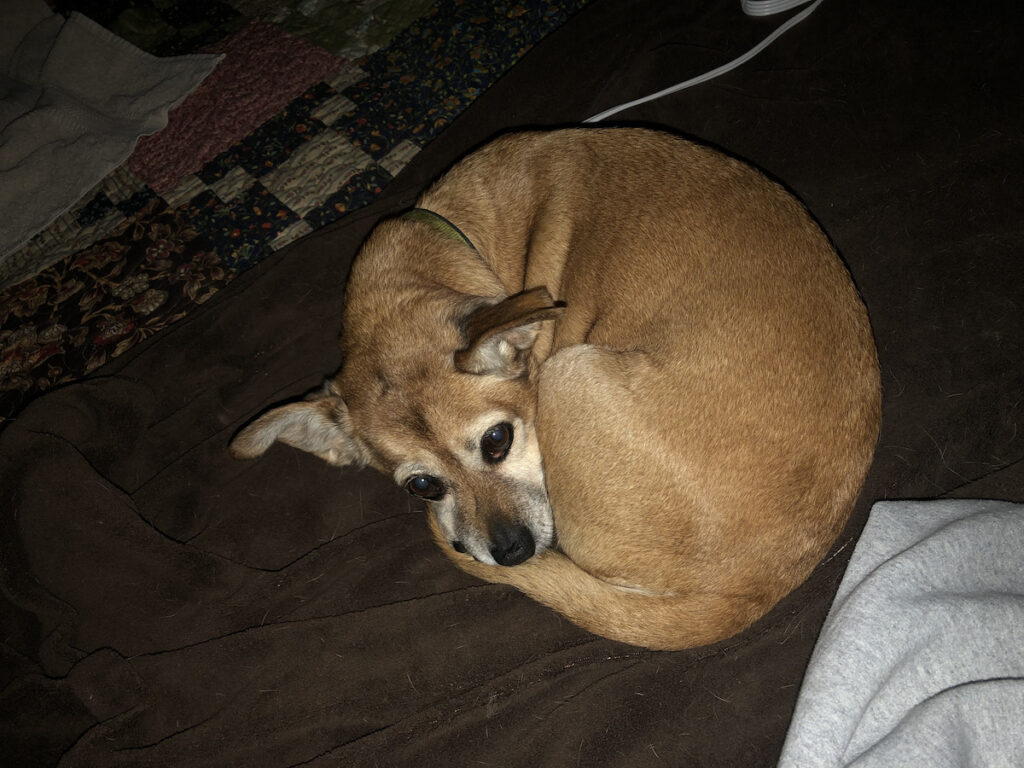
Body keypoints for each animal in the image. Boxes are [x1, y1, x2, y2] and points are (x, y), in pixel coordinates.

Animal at [230, 126, 880, 651]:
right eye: (421, 486)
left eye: (497, 441)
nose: (511, 553)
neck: (459, 241)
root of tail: (750, 592)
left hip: (571, 371)